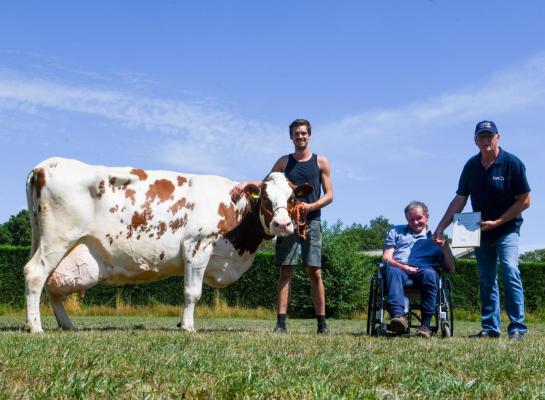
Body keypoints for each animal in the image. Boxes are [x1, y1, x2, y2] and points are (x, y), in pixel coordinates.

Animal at [24, 158, 310, 332]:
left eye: (292, 198)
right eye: (265, 197)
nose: (282, 224)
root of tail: (44, 165)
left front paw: (181, 323)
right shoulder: (198, 245)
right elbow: (192, 292)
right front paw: (189, 327)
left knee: (52, 286)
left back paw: (67, 325)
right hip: (57, 240)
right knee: (35, 274)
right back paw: (35, 326)